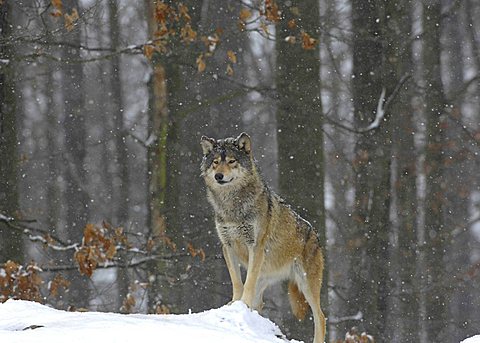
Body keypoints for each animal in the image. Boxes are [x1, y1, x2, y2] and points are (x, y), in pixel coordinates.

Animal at [199, 133, 326, 342]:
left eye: (232, 161)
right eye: (215, 162)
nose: (219, 176)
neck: (232, 206)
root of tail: (315, 233)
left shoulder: (255, 246)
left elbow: (247, 284)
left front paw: (241, 303)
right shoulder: (227, 246)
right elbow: (237, 282)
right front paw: (235, 304)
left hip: (306, 283)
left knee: (320, 317)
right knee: (259, 304)